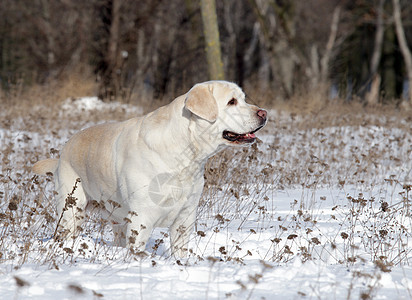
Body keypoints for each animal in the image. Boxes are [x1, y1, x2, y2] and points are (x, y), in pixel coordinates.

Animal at [32, 80, 268, 258]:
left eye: (243, 99)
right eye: (231, 102)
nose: (264, 113)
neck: (184, 153)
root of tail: (63, 153)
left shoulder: (185, 217)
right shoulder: (141, 218)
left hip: (116, 217)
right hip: (72, 209)